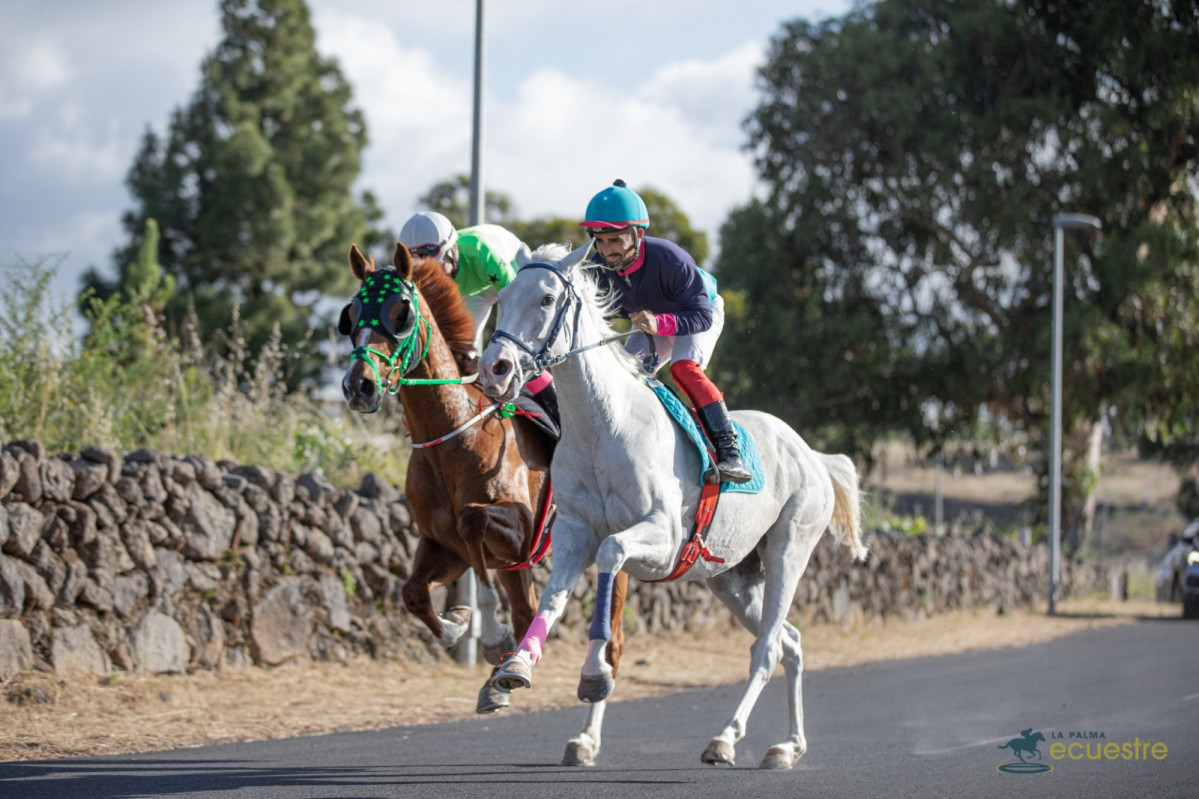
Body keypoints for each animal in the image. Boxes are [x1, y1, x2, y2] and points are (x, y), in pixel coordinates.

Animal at [340, 241, 628, 753]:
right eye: (351, 313)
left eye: (400, 312)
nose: (360, 385)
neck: (453, 432)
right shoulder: (443, 545)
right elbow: (413, 592)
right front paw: (456, 625)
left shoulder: (520, 533)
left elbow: (471, 520)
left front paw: (489, 633)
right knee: (527, 610)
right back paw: (505, 676)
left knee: (609, 640)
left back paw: (581, 727)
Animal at [479, 241, 872, 767]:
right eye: (502, 297)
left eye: (545, 299)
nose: (494, 368)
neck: (603, 428)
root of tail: (811, 454)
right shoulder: (574, 535)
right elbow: (554, 598)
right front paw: (517, 667)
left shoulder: (662, 540)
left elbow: (611, 556)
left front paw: (593, 675)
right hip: (732, 577)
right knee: (790, 642)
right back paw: (788, 746)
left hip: (789, 552)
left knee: (768, 648)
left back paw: (726, 738)